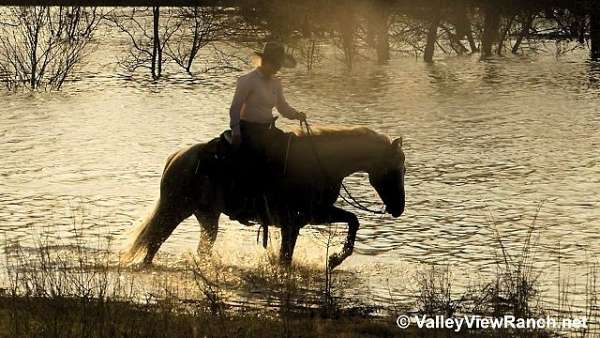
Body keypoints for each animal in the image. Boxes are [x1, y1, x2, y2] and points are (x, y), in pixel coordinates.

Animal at [122, 125, 406, 270]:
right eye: (395, 169)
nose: (398, 208)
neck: (319, 162)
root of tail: (178, 156)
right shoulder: (296, 221)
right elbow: (285, 259)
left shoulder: (312, 215)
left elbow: (353, 220)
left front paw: (335, 259)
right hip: (175, 210)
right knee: (154, 242)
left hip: (206, 217)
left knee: (198, 248)